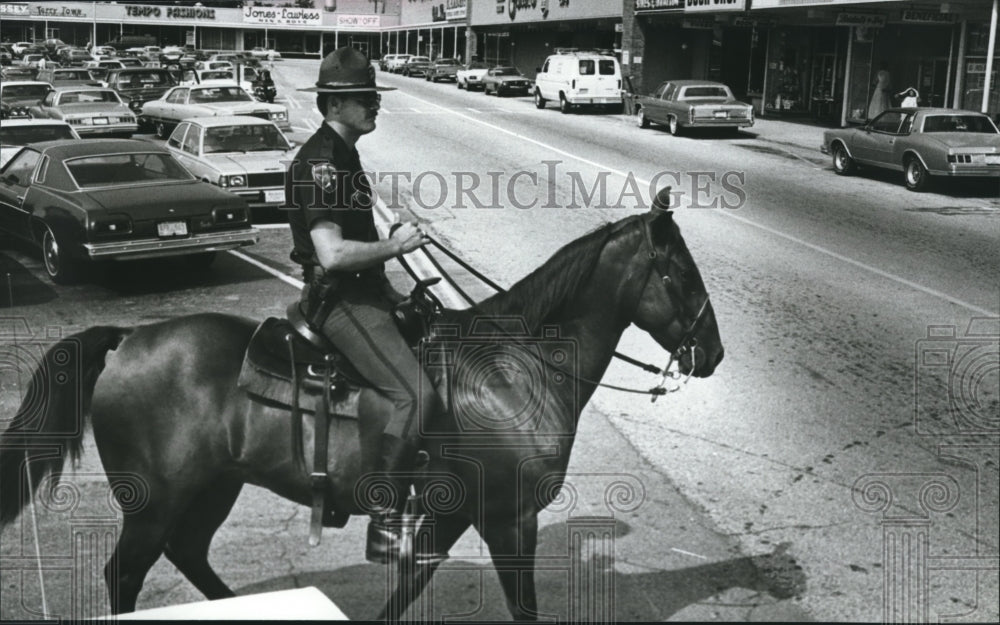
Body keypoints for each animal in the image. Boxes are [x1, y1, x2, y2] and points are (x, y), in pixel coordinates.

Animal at [0, 207, 720, 616]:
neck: (518, 368)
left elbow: (406, 593)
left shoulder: (451, 517)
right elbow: (521, 608)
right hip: (154, 503)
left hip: (213, 487)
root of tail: (126, 338)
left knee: (189, 553)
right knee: (124, 573)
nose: (713, 351)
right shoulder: (509, 517)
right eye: (681, 272)